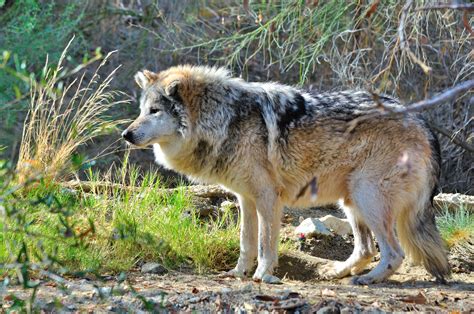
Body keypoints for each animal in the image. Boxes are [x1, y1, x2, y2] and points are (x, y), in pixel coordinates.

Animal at [122, 65, 448, 286]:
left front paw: (262, 275)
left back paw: (367, 280)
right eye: (142, 110)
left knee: (394, 253)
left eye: (154, 111)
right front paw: (237, 273)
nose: (126, 134)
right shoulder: (245, 198)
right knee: (366, 250)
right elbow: (246, 243)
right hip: (351, 202)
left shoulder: (268, 197)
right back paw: (337, 272)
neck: (225, 119)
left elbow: (266, 245)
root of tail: (422, 121)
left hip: (366, 198)